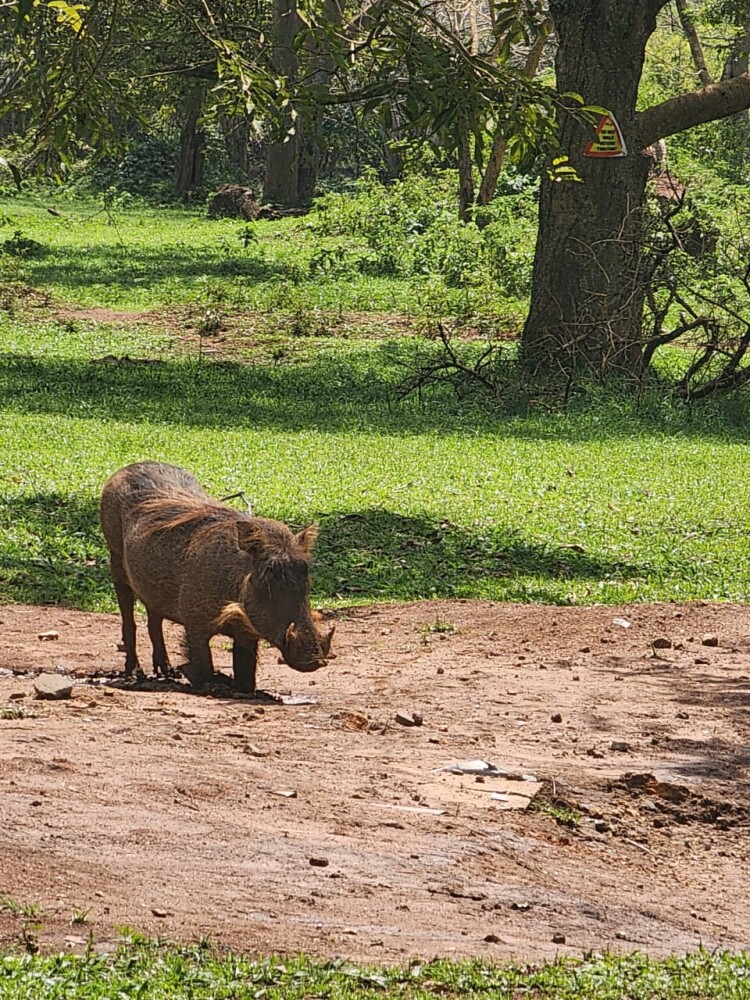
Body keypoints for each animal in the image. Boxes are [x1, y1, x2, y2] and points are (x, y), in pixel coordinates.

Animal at [100, 461, 334, 694]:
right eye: (267, 576)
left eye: (306, 578)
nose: (313, 659)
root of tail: (130, 467)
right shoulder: (195, 626)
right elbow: (204, 668)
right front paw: (207, 681)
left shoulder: (246, 635)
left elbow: (245, 678)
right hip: (116, 564)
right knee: (129, 622)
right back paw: (134, 671)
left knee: (153, 621)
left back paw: (166, 671)